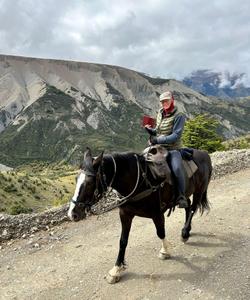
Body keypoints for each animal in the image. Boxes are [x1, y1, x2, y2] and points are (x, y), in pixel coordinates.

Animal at [67, 148, 212, 284]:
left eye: (90, 182)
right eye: (75, 179)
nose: (72, 214)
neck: (141, 181)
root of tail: (204, 154)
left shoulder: (157, 214)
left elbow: (160, 233)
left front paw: (165, 251)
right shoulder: (125, 215)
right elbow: (123, 241)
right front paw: (116, 270)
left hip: (199, 190)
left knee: (192, 209)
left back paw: (185, 232)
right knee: (188, 206)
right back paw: (185, 232)